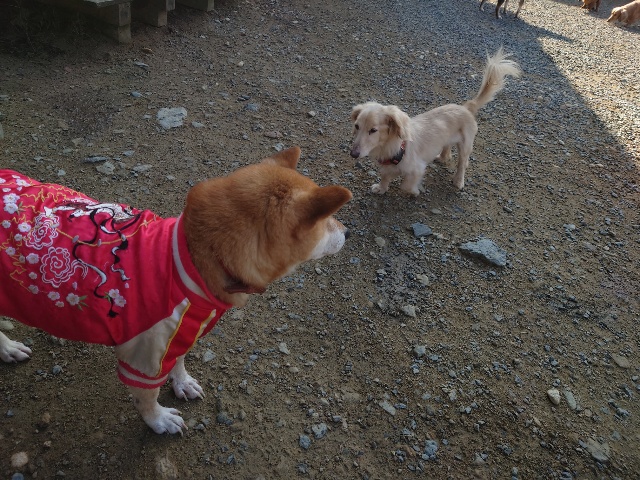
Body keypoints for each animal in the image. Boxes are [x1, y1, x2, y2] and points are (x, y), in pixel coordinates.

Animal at [0, 146, 351, 434]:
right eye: (327, 221)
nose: (348, 232)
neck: (195, 256)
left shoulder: (181, 332)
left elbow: (179, 361)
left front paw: (181, 383)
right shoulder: (143, 354)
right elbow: (147, 398)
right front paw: (158, 421)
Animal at [349, 48, 521, 195]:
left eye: (373, 130)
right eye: (357, 126)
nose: (353, 154)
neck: (391, 147)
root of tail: (466, 107)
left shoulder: (417, 168)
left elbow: (406, 185)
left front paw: (415, 191)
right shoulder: (386, 167)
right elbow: (385, 177)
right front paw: (381, 188)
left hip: (465, 145)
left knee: (462, 162)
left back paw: (458, 180)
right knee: (448, 151)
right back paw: (442, 157)